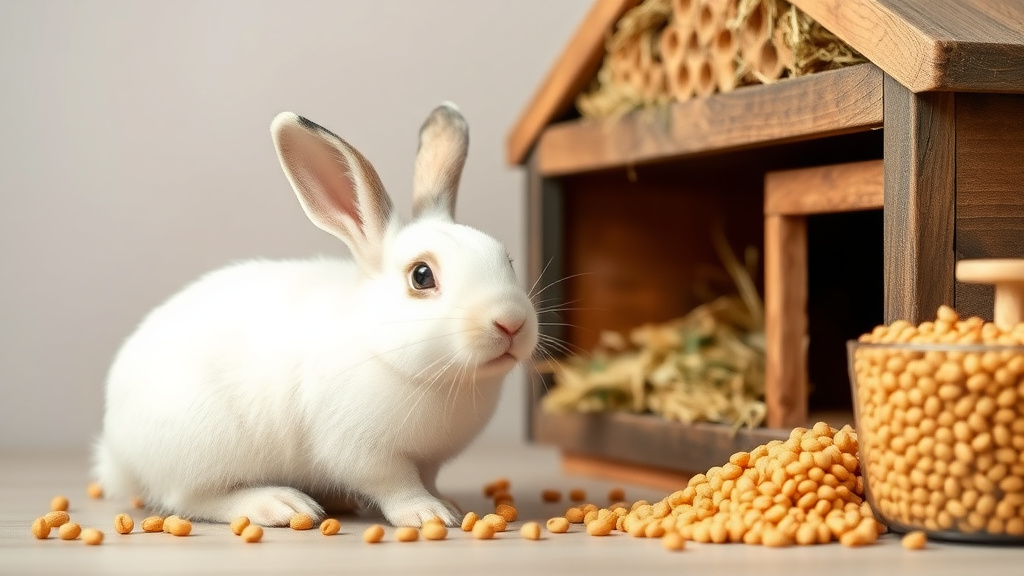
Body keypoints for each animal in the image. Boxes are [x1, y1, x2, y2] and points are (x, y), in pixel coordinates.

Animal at [92, 103, 538, 527]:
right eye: (421, 276)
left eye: (508, 260)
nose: (511, 322)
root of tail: (118, 451)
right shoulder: (363, 452)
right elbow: (398, 486)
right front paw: (427, 514)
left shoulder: (428, 460)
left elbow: (427, 479)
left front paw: (447, 504)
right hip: (202, 448)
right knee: (191, 499)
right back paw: (279, 504)